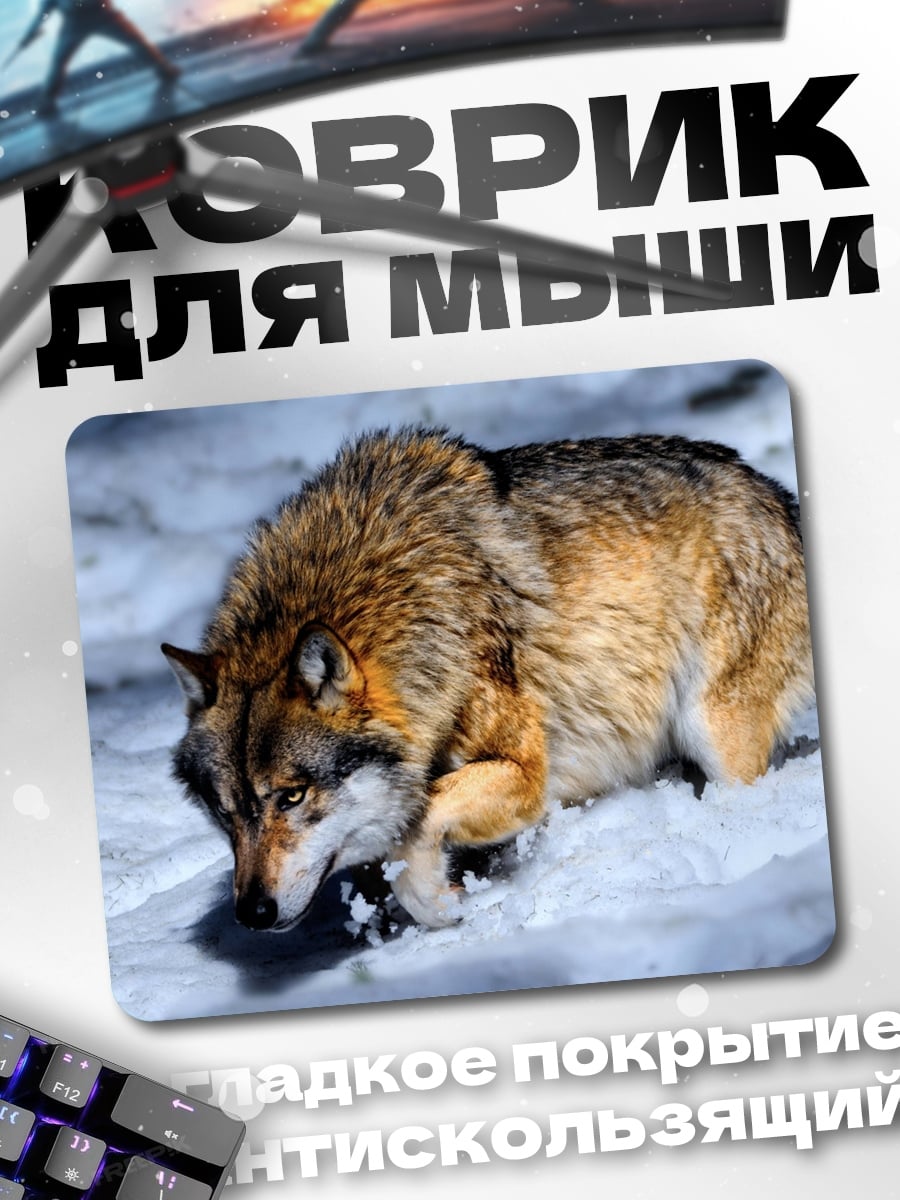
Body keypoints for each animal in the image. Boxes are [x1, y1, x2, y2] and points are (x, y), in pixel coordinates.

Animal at [162, 428, 814, 931]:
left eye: (292, 796)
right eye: (224, 811)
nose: (252, 915)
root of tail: (776, 493)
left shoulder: (525, 774)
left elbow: (420, 821)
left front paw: (438, 904)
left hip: (715, 732)